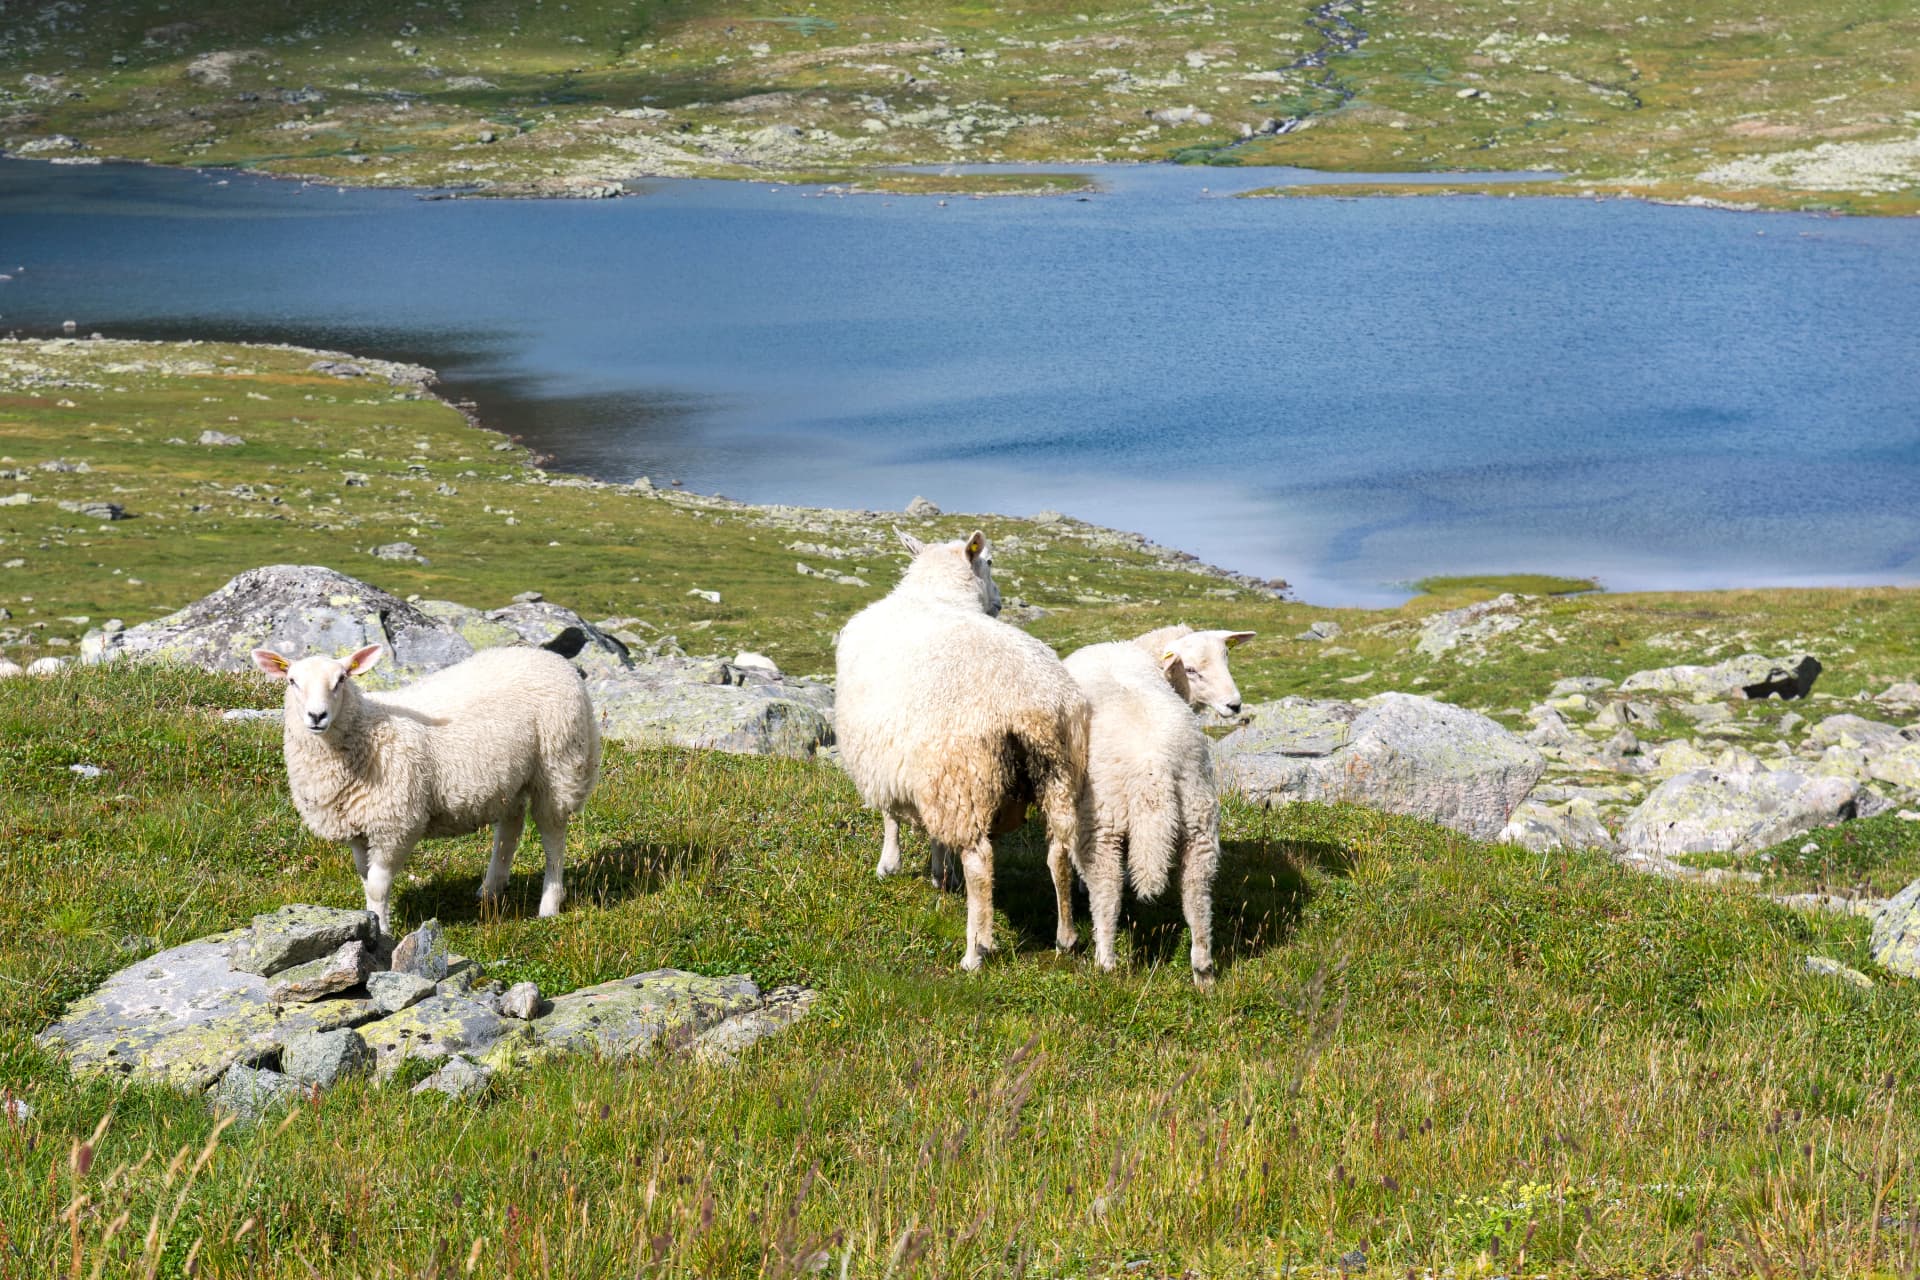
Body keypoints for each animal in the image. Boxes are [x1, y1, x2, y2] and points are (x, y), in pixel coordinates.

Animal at [251, 643, 602, 934]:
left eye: (340, 680)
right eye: (292, 681)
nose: (316, 716)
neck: (367, 730)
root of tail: (550, 657)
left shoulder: (396, 824)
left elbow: (377, 885)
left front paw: (382, 933)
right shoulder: (358, 825)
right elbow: (365, 879)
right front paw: (371, 921)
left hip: (560, 766)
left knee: (553, 838)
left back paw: (549, 904)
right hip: (510, 778)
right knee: (510, 827)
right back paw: (490, 889)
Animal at [835, 529, 1090, 970]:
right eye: (989, 563)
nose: (1001, 602)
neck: (936, 594)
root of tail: (1031, 706)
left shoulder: (887, 757)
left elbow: (890, 816)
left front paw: (889, 865)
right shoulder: (924, 772)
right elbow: (932, 832)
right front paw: (939, 874)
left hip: (966, 775)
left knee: (980, 863)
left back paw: (976, 950)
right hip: (1057, 771)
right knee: (1058, 851)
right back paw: (1067, 936)